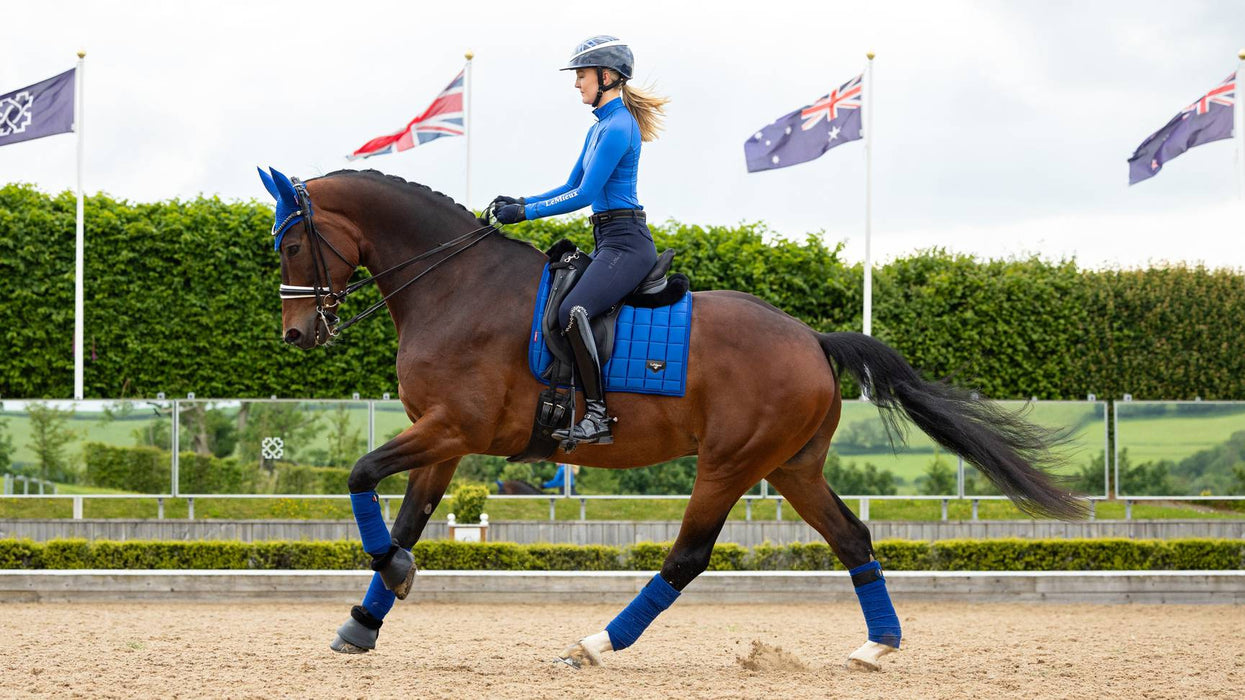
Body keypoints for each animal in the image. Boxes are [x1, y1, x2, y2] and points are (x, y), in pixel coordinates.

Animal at [260, 165, 1080, 667]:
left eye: (294, 241)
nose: (297, 335)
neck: (454, 285)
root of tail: (812, 338)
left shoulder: (451, 429)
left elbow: (361, 476)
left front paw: (394, 581)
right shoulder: (444, 440)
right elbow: (404, 519)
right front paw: (364, 621)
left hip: (728, 464)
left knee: (687, 557)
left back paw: (596, 644)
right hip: (791, 468)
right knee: (852, 538)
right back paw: (877, 646)